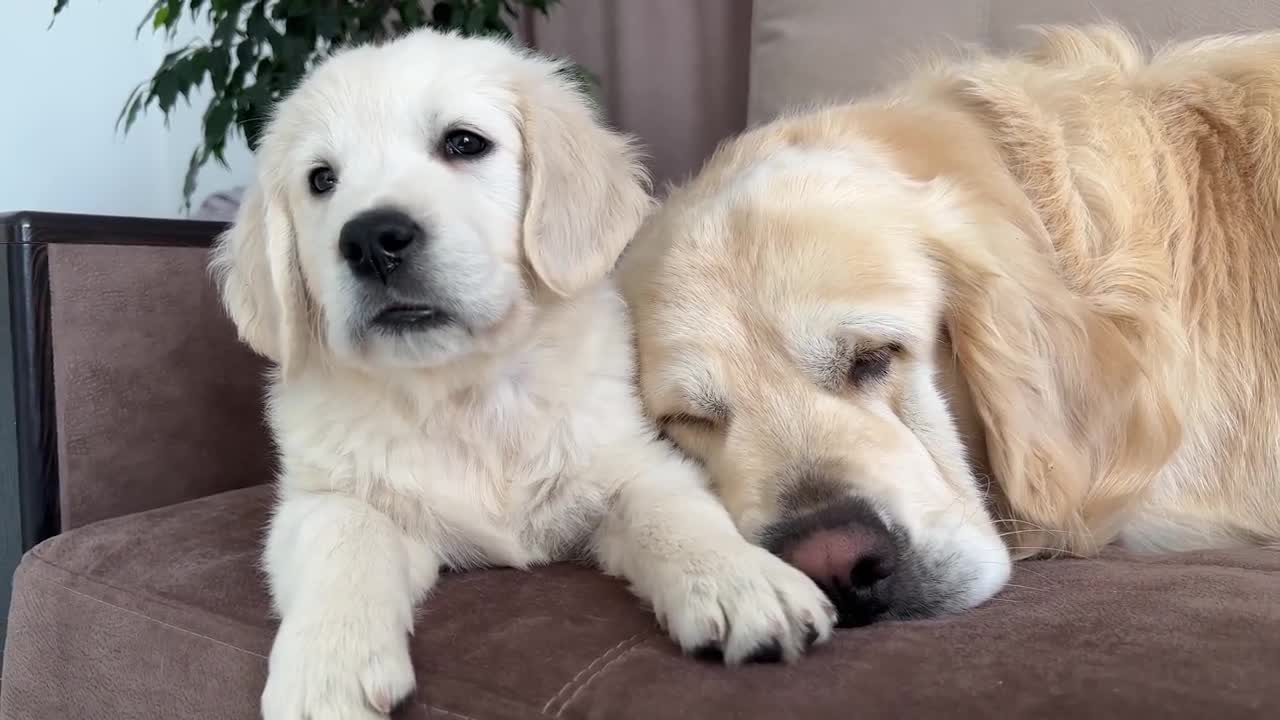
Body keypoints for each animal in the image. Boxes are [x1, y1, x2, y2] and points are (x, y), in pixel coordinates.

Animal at [209, 28, 834, 717]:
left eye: (463, 142)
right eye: (321, 180)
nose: (371, 240)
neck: (465, 391)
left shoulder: (636, 463)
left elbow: (674, 514)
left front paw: (744, 579)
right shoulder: (319, 496)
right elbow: (344, 532)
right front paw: (325, 668)